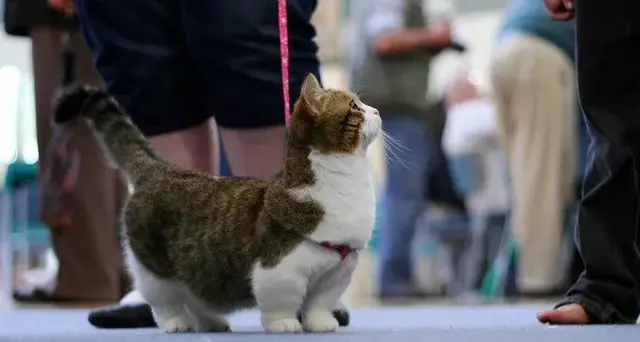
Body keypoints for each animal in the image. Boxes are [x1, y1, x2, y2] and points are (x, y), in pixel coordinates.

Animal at [55, 74, 380, 334]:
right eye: (354, 106)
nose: (376, 110)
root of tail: (163, 170)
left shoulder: (337, 272)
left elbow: (319, 303)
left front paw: (320, 323)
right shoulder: (279, 269)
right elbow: (282, 302)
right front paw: (284, 324)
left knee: (194, 293)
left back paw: (211, 321)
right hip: (153, 268)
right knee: (165, 301)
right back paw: (177, 323)